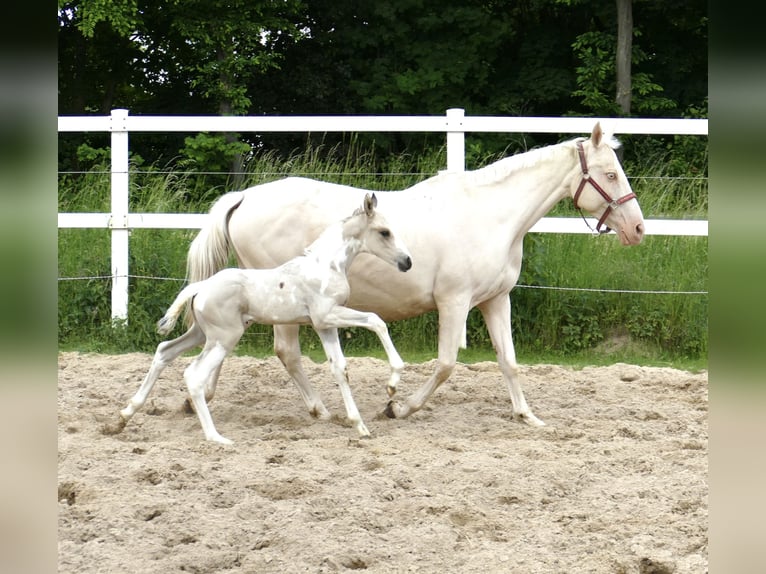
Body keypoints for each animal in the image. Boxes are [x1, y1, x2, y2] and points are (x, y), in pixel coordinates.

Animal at [108, 194, 413, 444]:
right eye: (384, 232)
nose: (407, 262)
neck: (326, 266)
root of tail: (200, 287)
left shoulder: (324, 325)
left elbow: (340, 369)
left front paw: (360, 426)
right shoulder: (327, 314)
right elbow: (376, 320)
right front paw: (392, 383)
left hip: (201, 333)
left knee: (164, 351)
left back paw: (124, 416)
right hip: (224, 337)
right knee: (193, 375)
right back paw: (216, 437)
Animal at [186, 122, 645, 428]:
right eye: (609, 174)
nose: (638, 228)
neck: (491, 215)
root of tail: (245, 196)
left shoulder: (496, 300)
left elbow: (509, 361)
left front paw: (527, 415)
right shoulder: (454, 302)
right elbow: (445, 365)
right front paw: (397, 406)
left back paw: (198, 398)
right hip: (282, 302)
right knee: (286, 353)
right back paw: (319, 409)